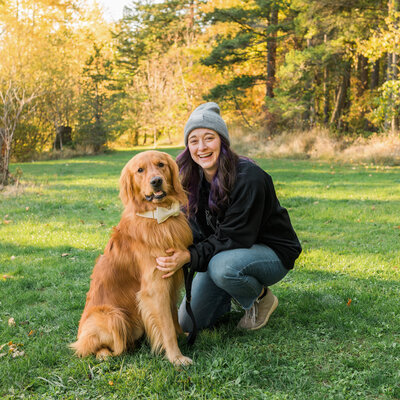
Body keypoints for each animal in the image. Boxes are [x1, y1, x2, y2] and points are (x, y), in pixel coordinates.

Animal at [70, 150, 194, 366]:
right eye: (140, 170)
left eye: (161, 164)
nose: (156, 181)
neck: (158, 217)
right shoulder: (155, 287)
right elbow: (167, 327)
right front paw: (176, 357)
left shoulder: (169, 285)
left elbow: (173, 318)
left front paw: (182, 336)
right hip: (113, 316)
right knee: (89, 348)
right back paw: (107, 353)